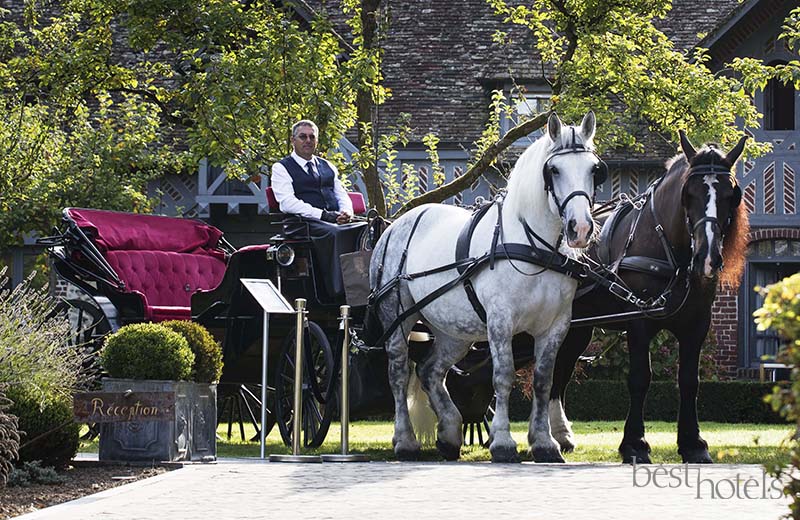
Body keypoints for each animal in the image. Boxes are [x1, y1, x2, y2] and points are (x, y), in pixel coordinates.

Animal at [552, 131, 752, 464]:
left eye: (730, 195)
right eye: (688, 194)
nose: (707, 259)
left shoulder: (697, 324)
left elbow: (689, 381)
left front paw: (693, 443)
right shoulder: (639, 322)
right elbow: (640, 378)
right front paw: (635, 444)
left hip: (577, 327)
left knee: (560, 368)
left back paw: (558, 435)